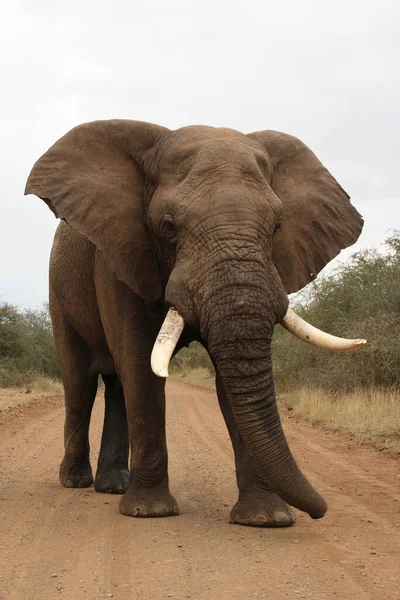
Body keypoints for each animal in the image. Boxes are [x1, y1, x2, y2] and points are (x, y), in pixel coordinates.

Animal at [23, 119, 364, 528]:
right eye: (168, 226)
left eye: (277, 226)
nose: (319, 512)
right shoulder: (118, 256)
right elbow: (141, 365)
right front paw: (150, 512)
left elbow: (229, 382)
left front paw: (267, 519)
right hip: (59, 292)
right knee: (80, 383)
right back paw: (76, 482)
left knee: (116, 386)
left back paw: (115, 486)